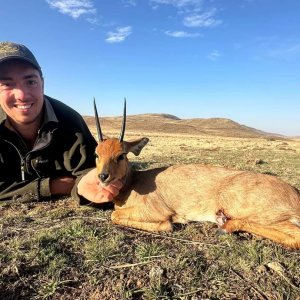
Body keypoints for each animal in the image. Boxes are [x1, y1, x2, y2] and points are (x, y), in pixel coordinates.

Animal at [93, 99, 300, 248]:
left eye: (121, 155)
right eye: (97, 154)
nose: (103, 176)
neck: (132, 184)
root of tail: (295, 193)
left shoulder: (155, 211)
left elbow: (115, 216)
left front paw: (168, 224)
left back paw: (225, 226)